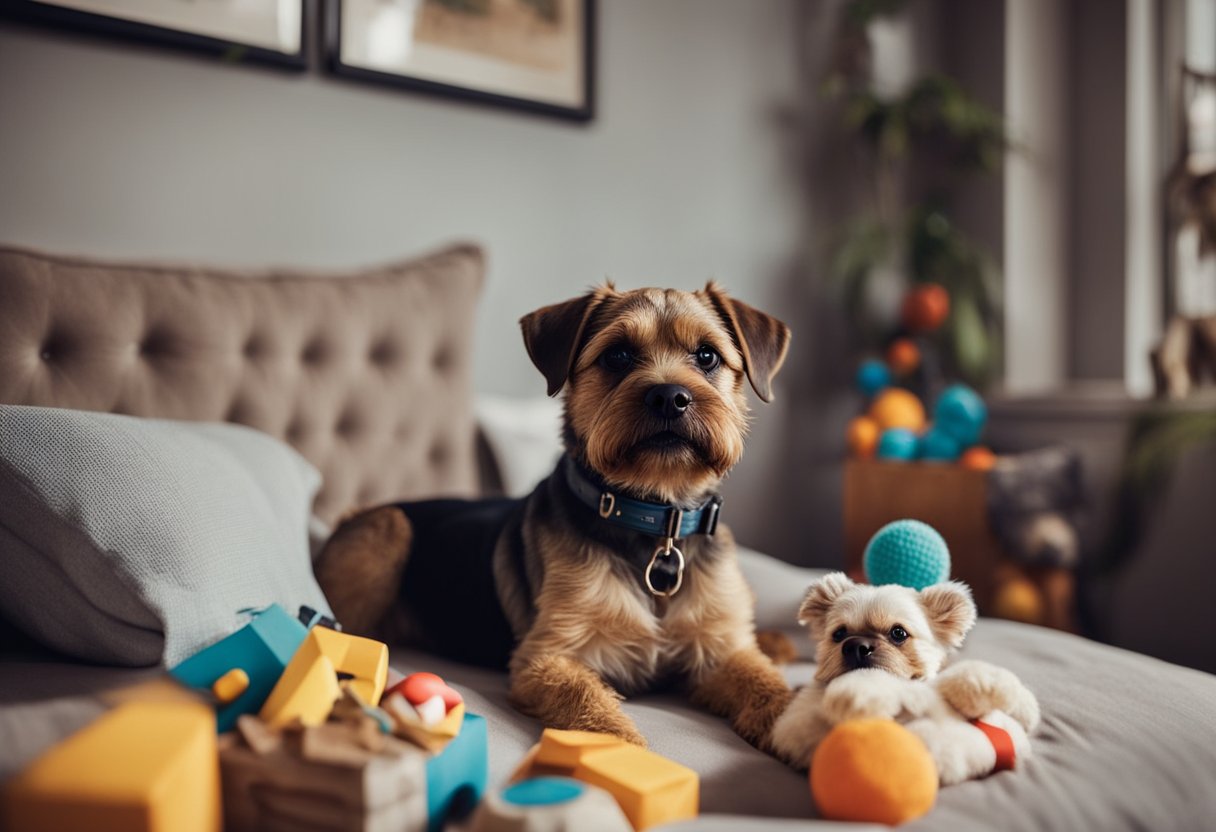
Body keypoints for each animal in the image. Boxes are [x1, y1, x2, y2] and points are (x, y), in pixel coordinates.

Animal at [311, 282, 787, 749]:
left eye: (707, 356)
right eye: (617, 356)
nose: (670, 397)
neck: (653, 519)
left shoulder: (719, 650)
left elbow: (770, 688)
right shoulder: (547, 656)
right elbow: (593, 709)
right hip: (387, 527)